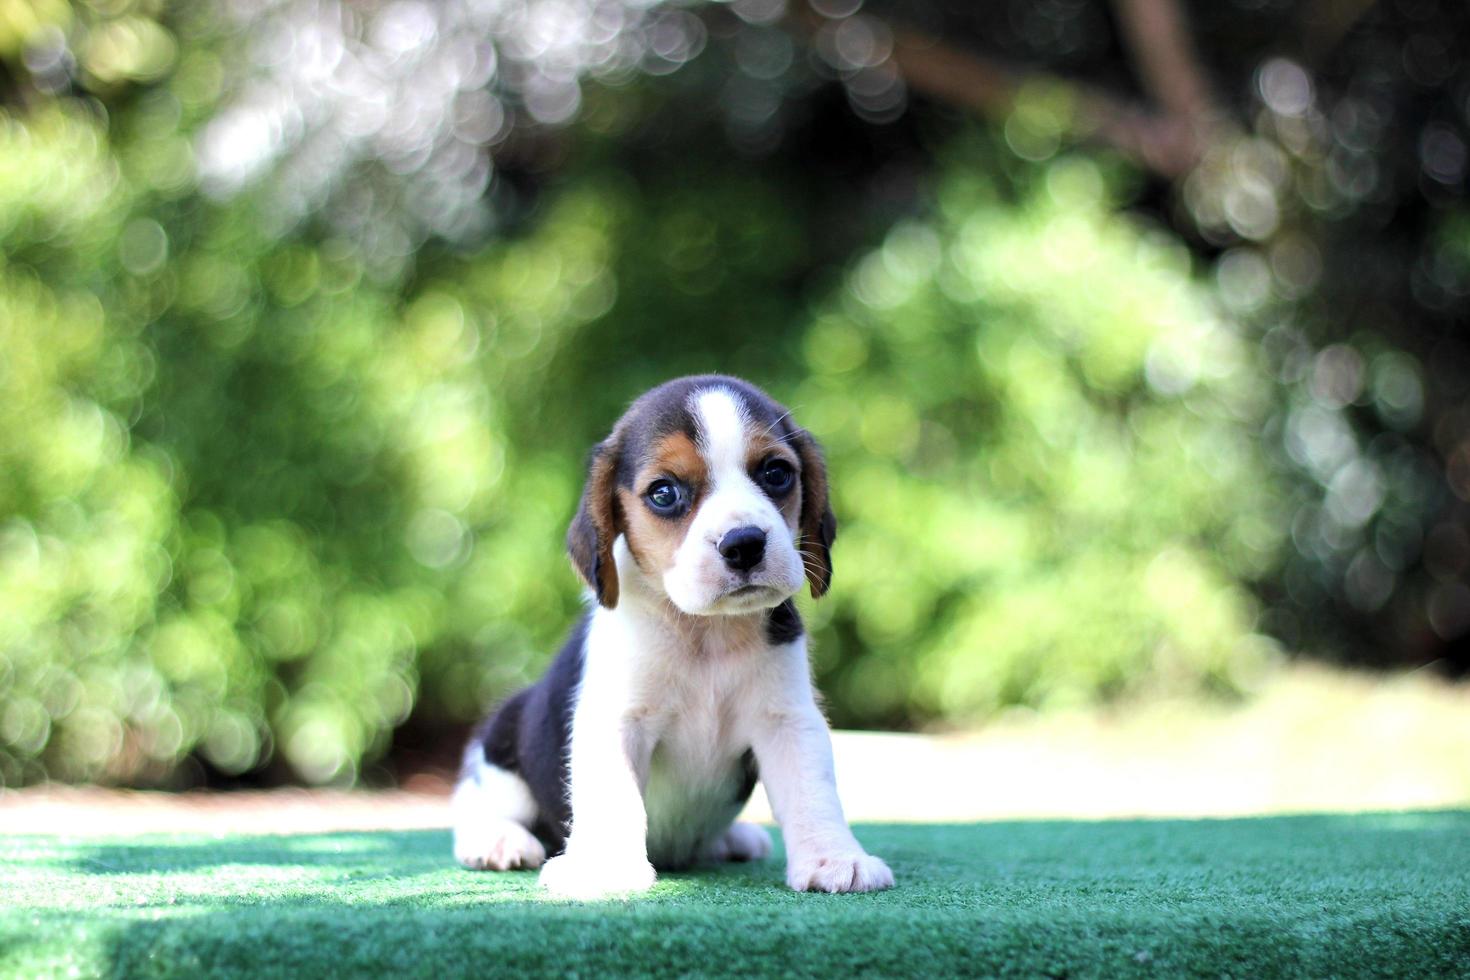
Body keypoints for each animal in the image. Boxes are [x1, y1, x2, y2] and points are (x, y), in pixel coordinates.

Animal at [446, 373, 887, 899]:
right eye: (663, 493)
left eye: (777, 473)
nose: (744, 544)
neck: (705, 632)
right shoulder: (616, 721)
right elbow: (614, 794)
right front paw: (604, 866)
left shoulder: (788, 719)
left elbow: (812, 792)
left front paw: (835, 858)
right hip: (503, 739)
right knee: (481, 803)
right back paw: (497, 840)